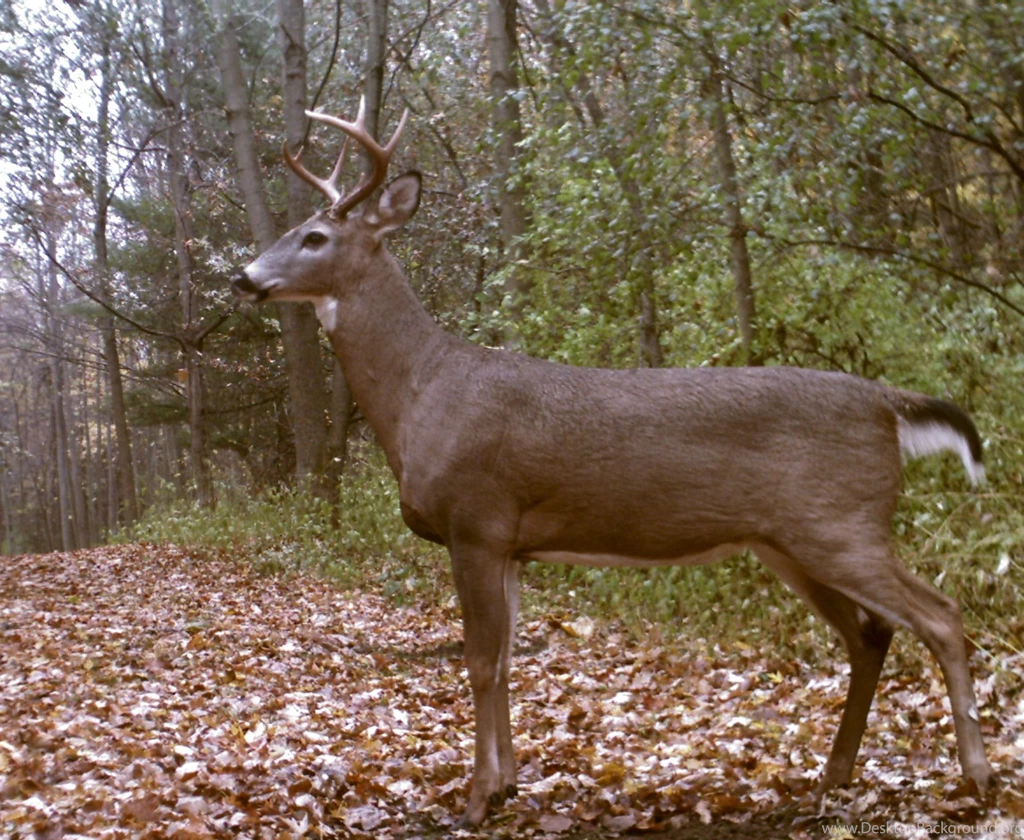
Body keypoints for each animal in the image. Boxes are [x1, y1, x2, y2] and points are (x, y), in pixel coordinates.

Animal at [230, 99, 993, 827]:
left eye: (315, 237)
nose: (245, 278)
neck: (424, 393)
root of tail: (888, 405)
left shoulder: (476, 520)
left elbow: (479, 663)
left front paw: (474, 803)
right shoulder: (511, 544)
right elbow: (505, 659)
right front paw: (506, 786)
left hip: (840, 523)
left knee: (942, 616)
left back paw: (977, 778)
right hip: (789, 541)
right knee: (871, 635)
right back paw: (833, 776)